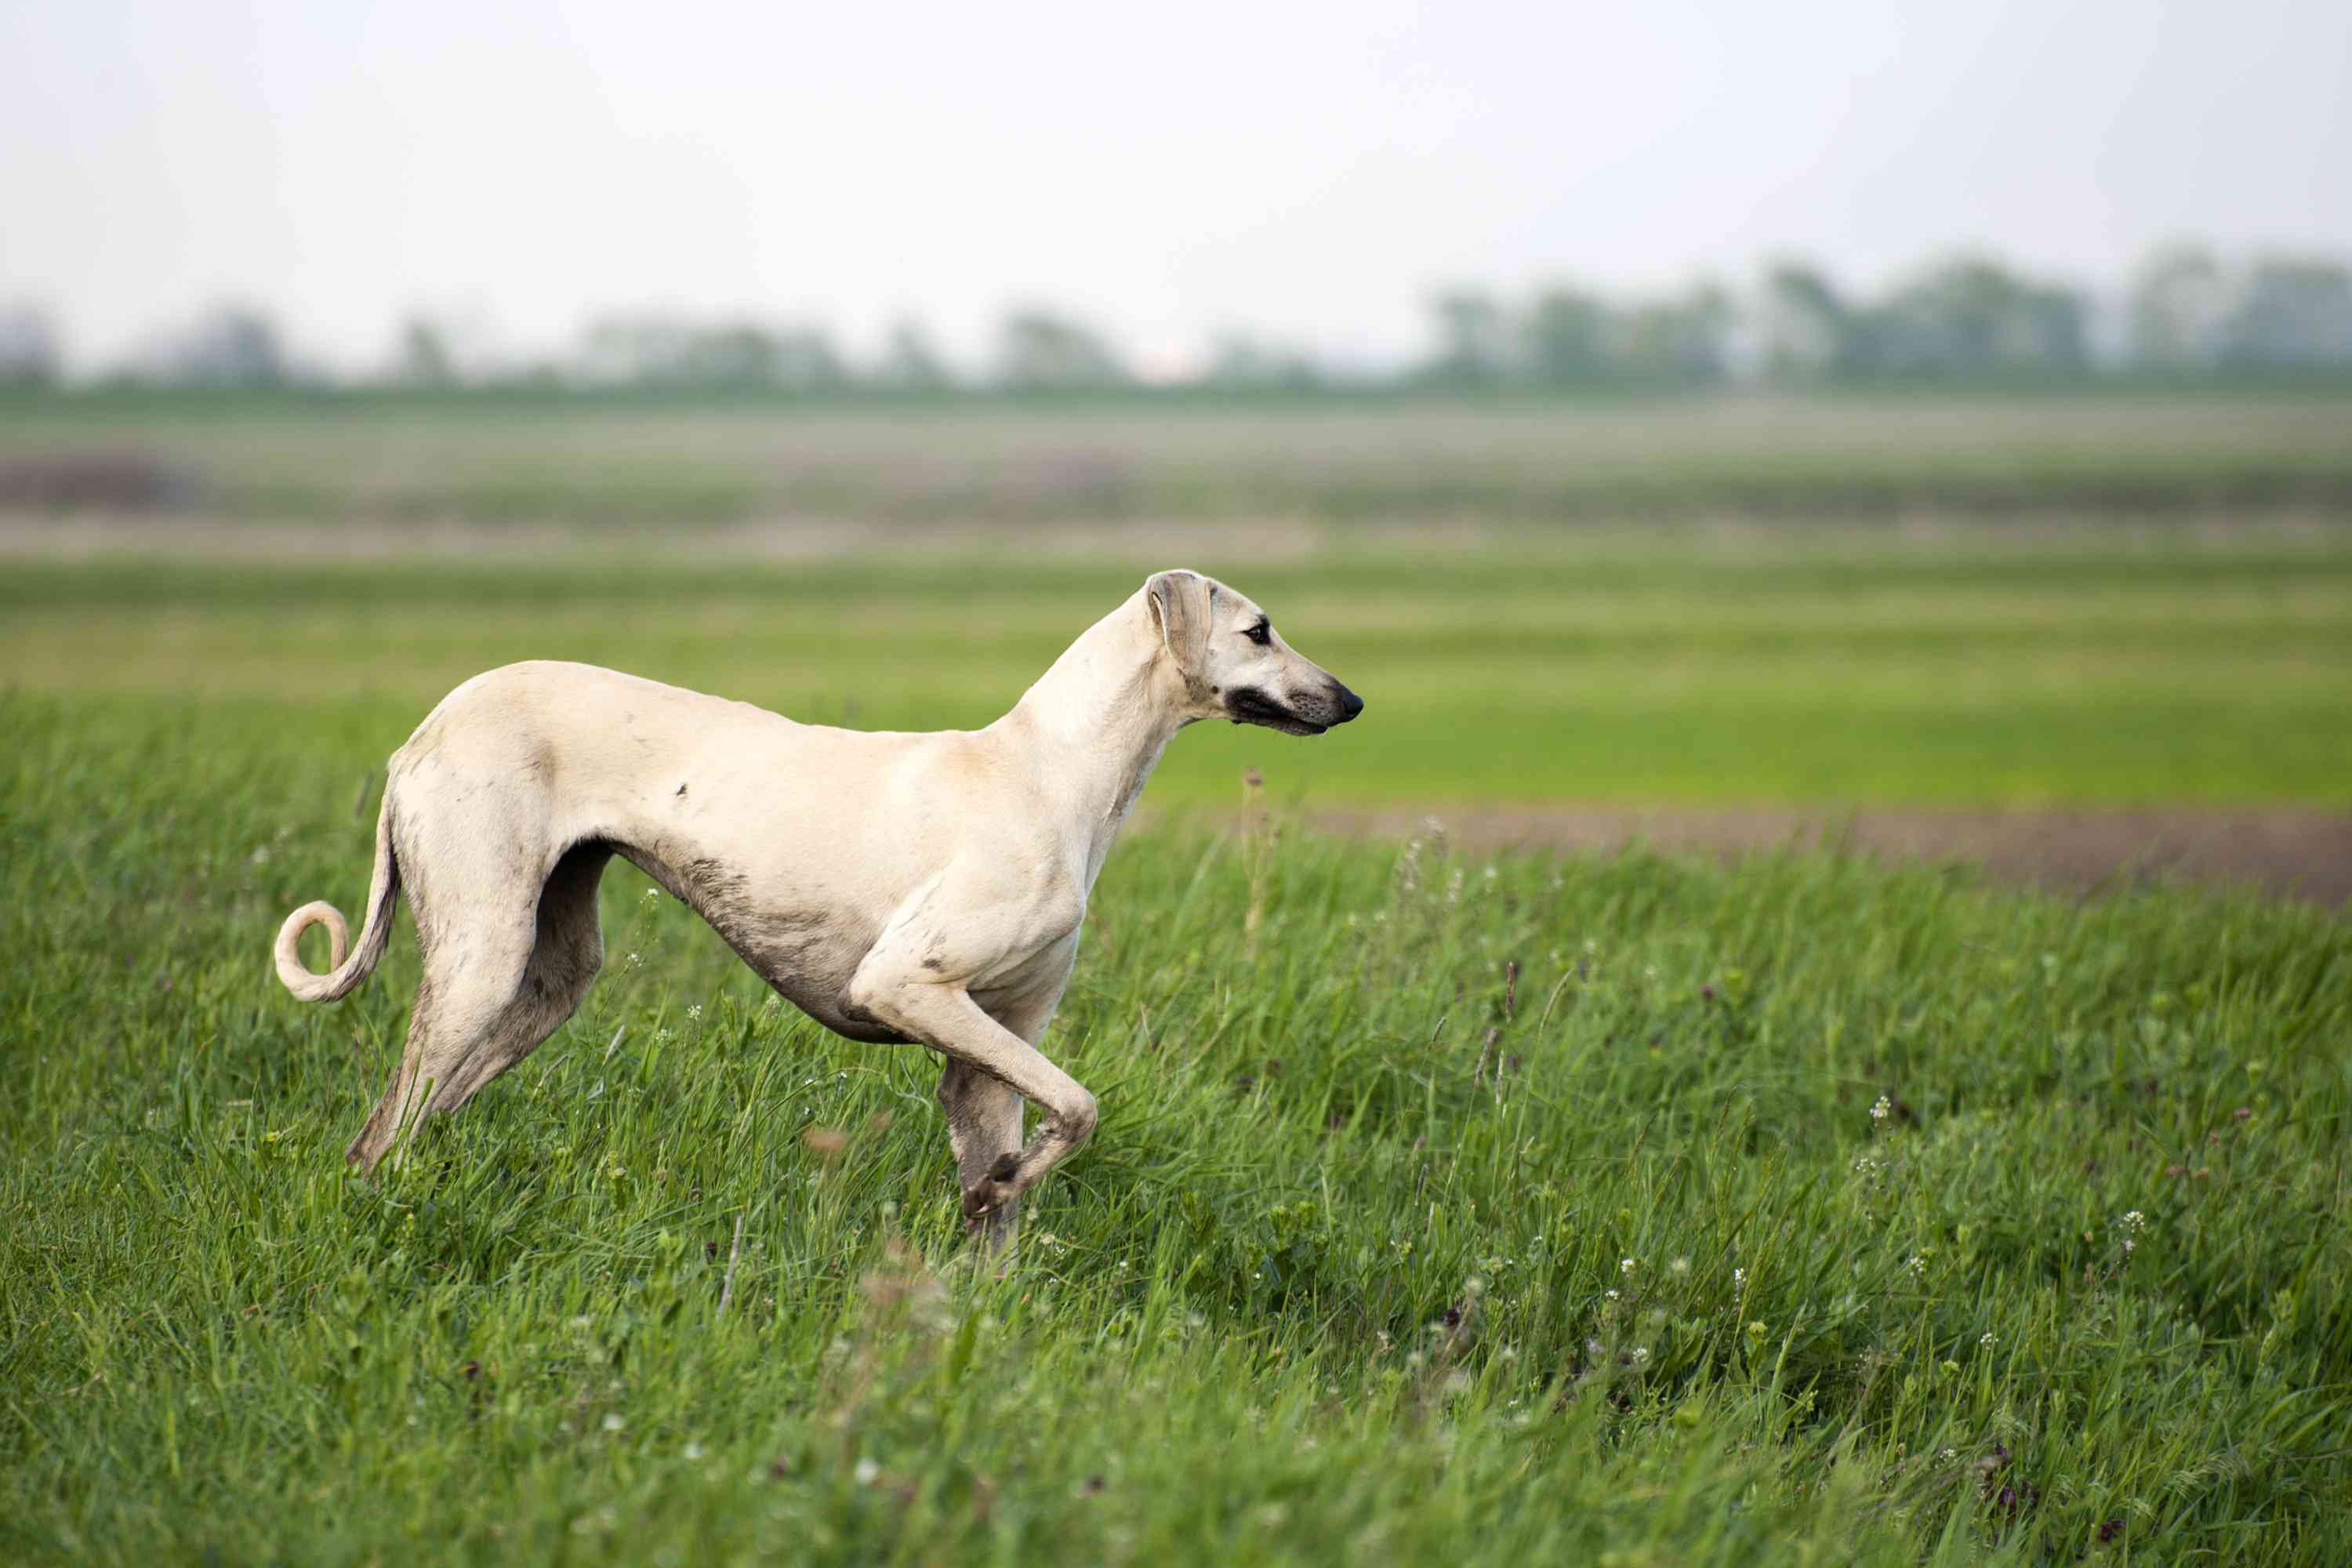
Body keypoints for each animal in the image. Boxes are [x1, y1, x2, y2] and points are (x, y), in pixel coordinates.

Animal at [280, 571, 1364, 1241]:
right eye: (1259, 629)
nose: (1351, 702)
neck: (1050, 770)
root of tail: (421, 733)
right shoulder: (905, 984)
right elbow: (1084, 1106)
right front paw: (1010, 1178)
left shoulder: (988, 1055)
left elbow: (1010, 1189)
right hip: (482, 957)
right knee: (379, 1134)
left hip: (548, 981)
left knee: (418, 1120)